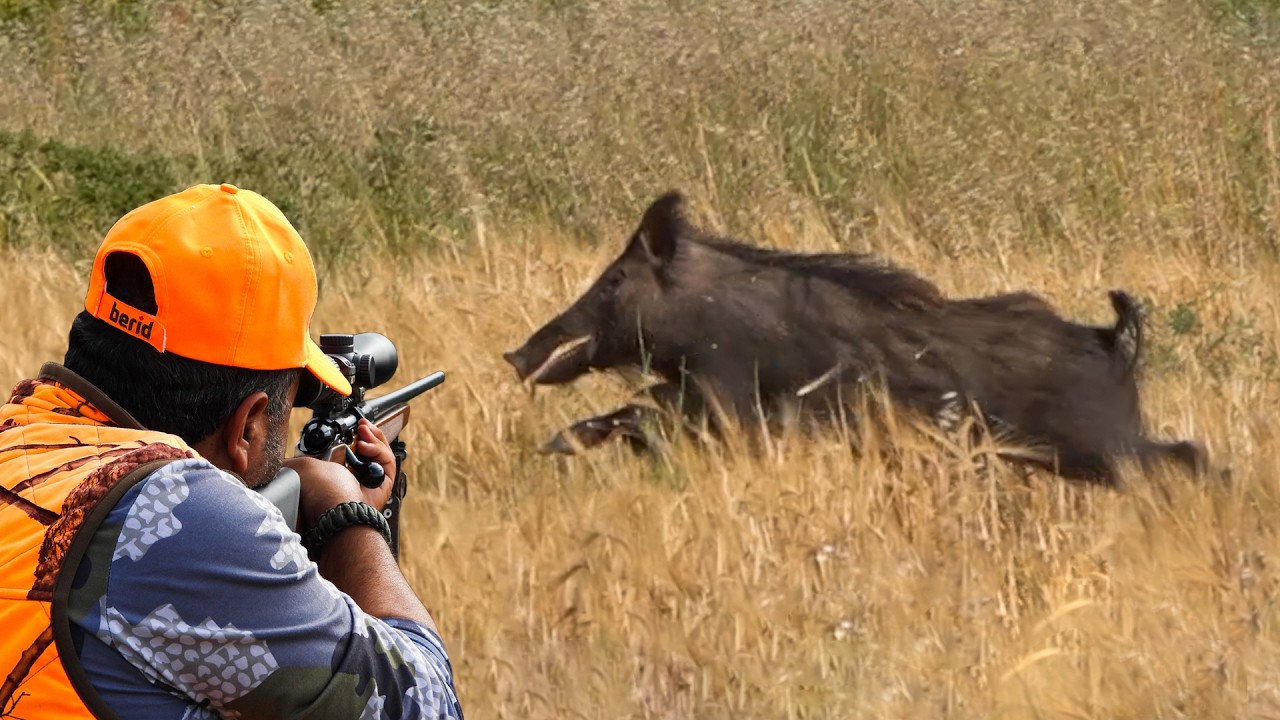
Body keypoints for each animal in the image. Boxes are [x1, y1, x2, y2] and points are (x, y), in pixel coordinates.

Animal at [504, 191, 1206, 485]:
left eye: (615, 278)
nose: (515, 354)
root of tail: (1113, 341)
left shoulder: (730, 408)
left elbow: (640, 412)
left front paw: (556, 443)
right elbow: (633, 408)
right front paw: (558, 443)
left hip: (1098, 445)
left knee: (1189, 457)